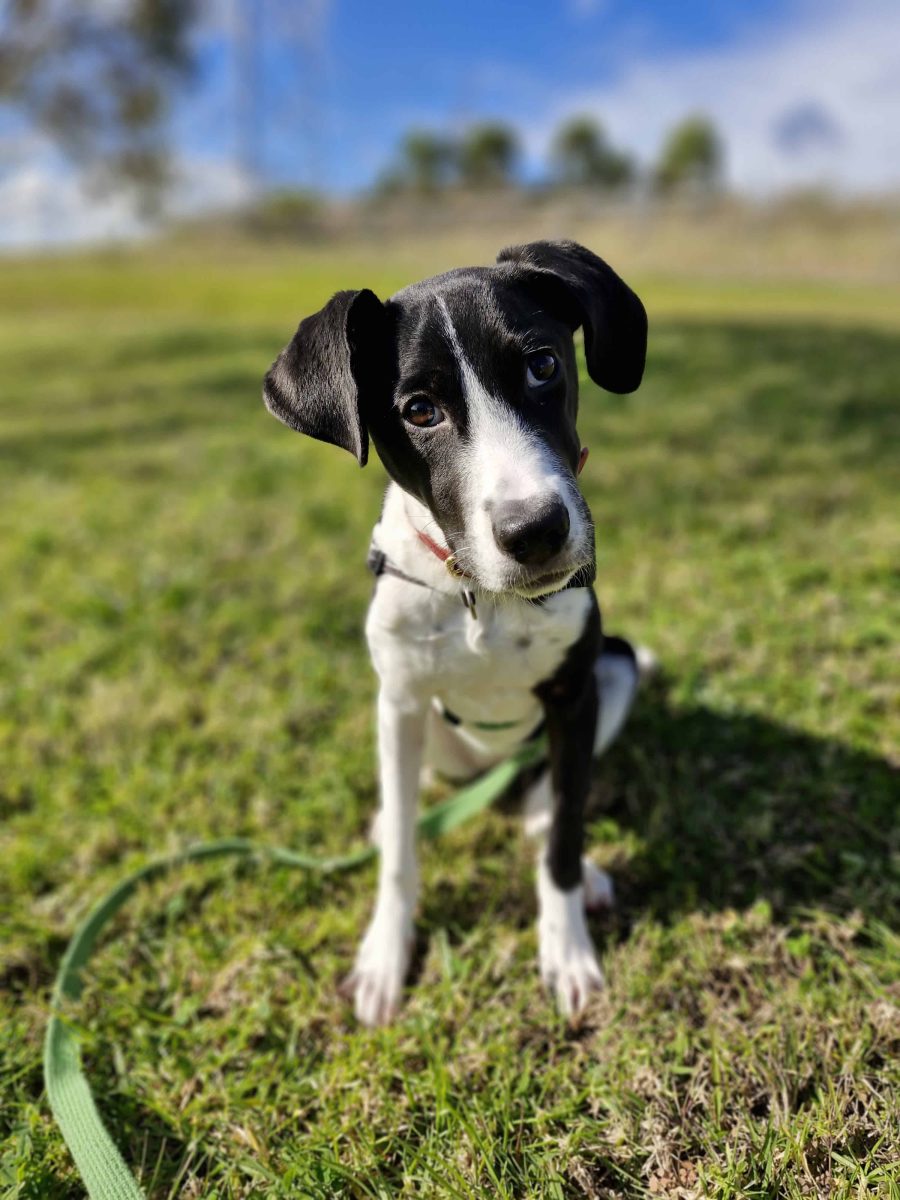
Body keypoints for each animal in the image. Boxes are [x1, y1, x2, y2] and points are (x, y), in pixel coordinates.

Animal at [264, 241, 652, 1022]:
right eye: (420, 410)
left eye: (543, 364)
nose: (536, 531)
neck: (482, 599)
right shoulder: (401, 699)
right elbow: (401, 857)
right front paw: (385, 956)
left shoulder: (575, 695)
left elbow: (563, 840)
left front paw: (567, 949)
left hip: (618, 664)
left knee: (543, 808)